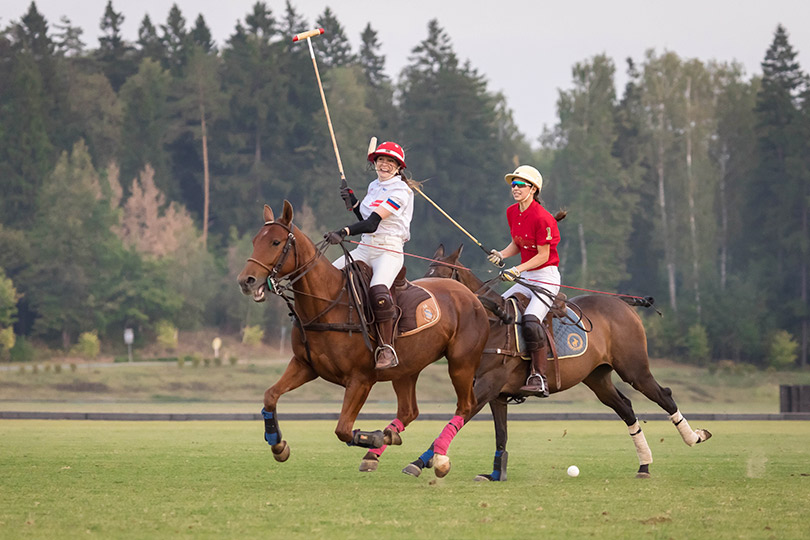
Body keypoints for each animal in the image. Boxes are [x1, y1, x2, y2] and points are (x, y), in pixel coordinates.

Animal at [234, 202, 486, 476]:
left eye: (276, 242)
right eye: (255, 240)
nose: (246, 281)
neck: (327, 305)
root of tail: (471, 296)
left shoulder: (361, 379)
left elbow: (343, 429)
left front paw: (376, 436)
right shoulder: (304, 365)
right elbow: (270, 395)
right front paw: (278, 444)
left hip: (461, 362)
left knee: (466, 406)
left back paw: (437, 458)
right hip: (407, 369)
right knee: (409, 410)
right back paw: (382, 447)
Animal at [402, 243, 708, 478]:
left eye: (440, 277)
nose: (418, 298)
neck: (492, 322)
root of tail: (622, 302)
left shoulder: (488, 385)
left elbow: (460, 418)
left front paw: (421, 462)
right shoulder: (496, 394)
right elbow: (501, 433)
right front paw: (495, 473)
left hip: (634, 368)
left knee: (663, 395)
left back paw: (694, 437)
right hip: (597, 376)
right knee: (626, 408)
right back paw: (644, 465)